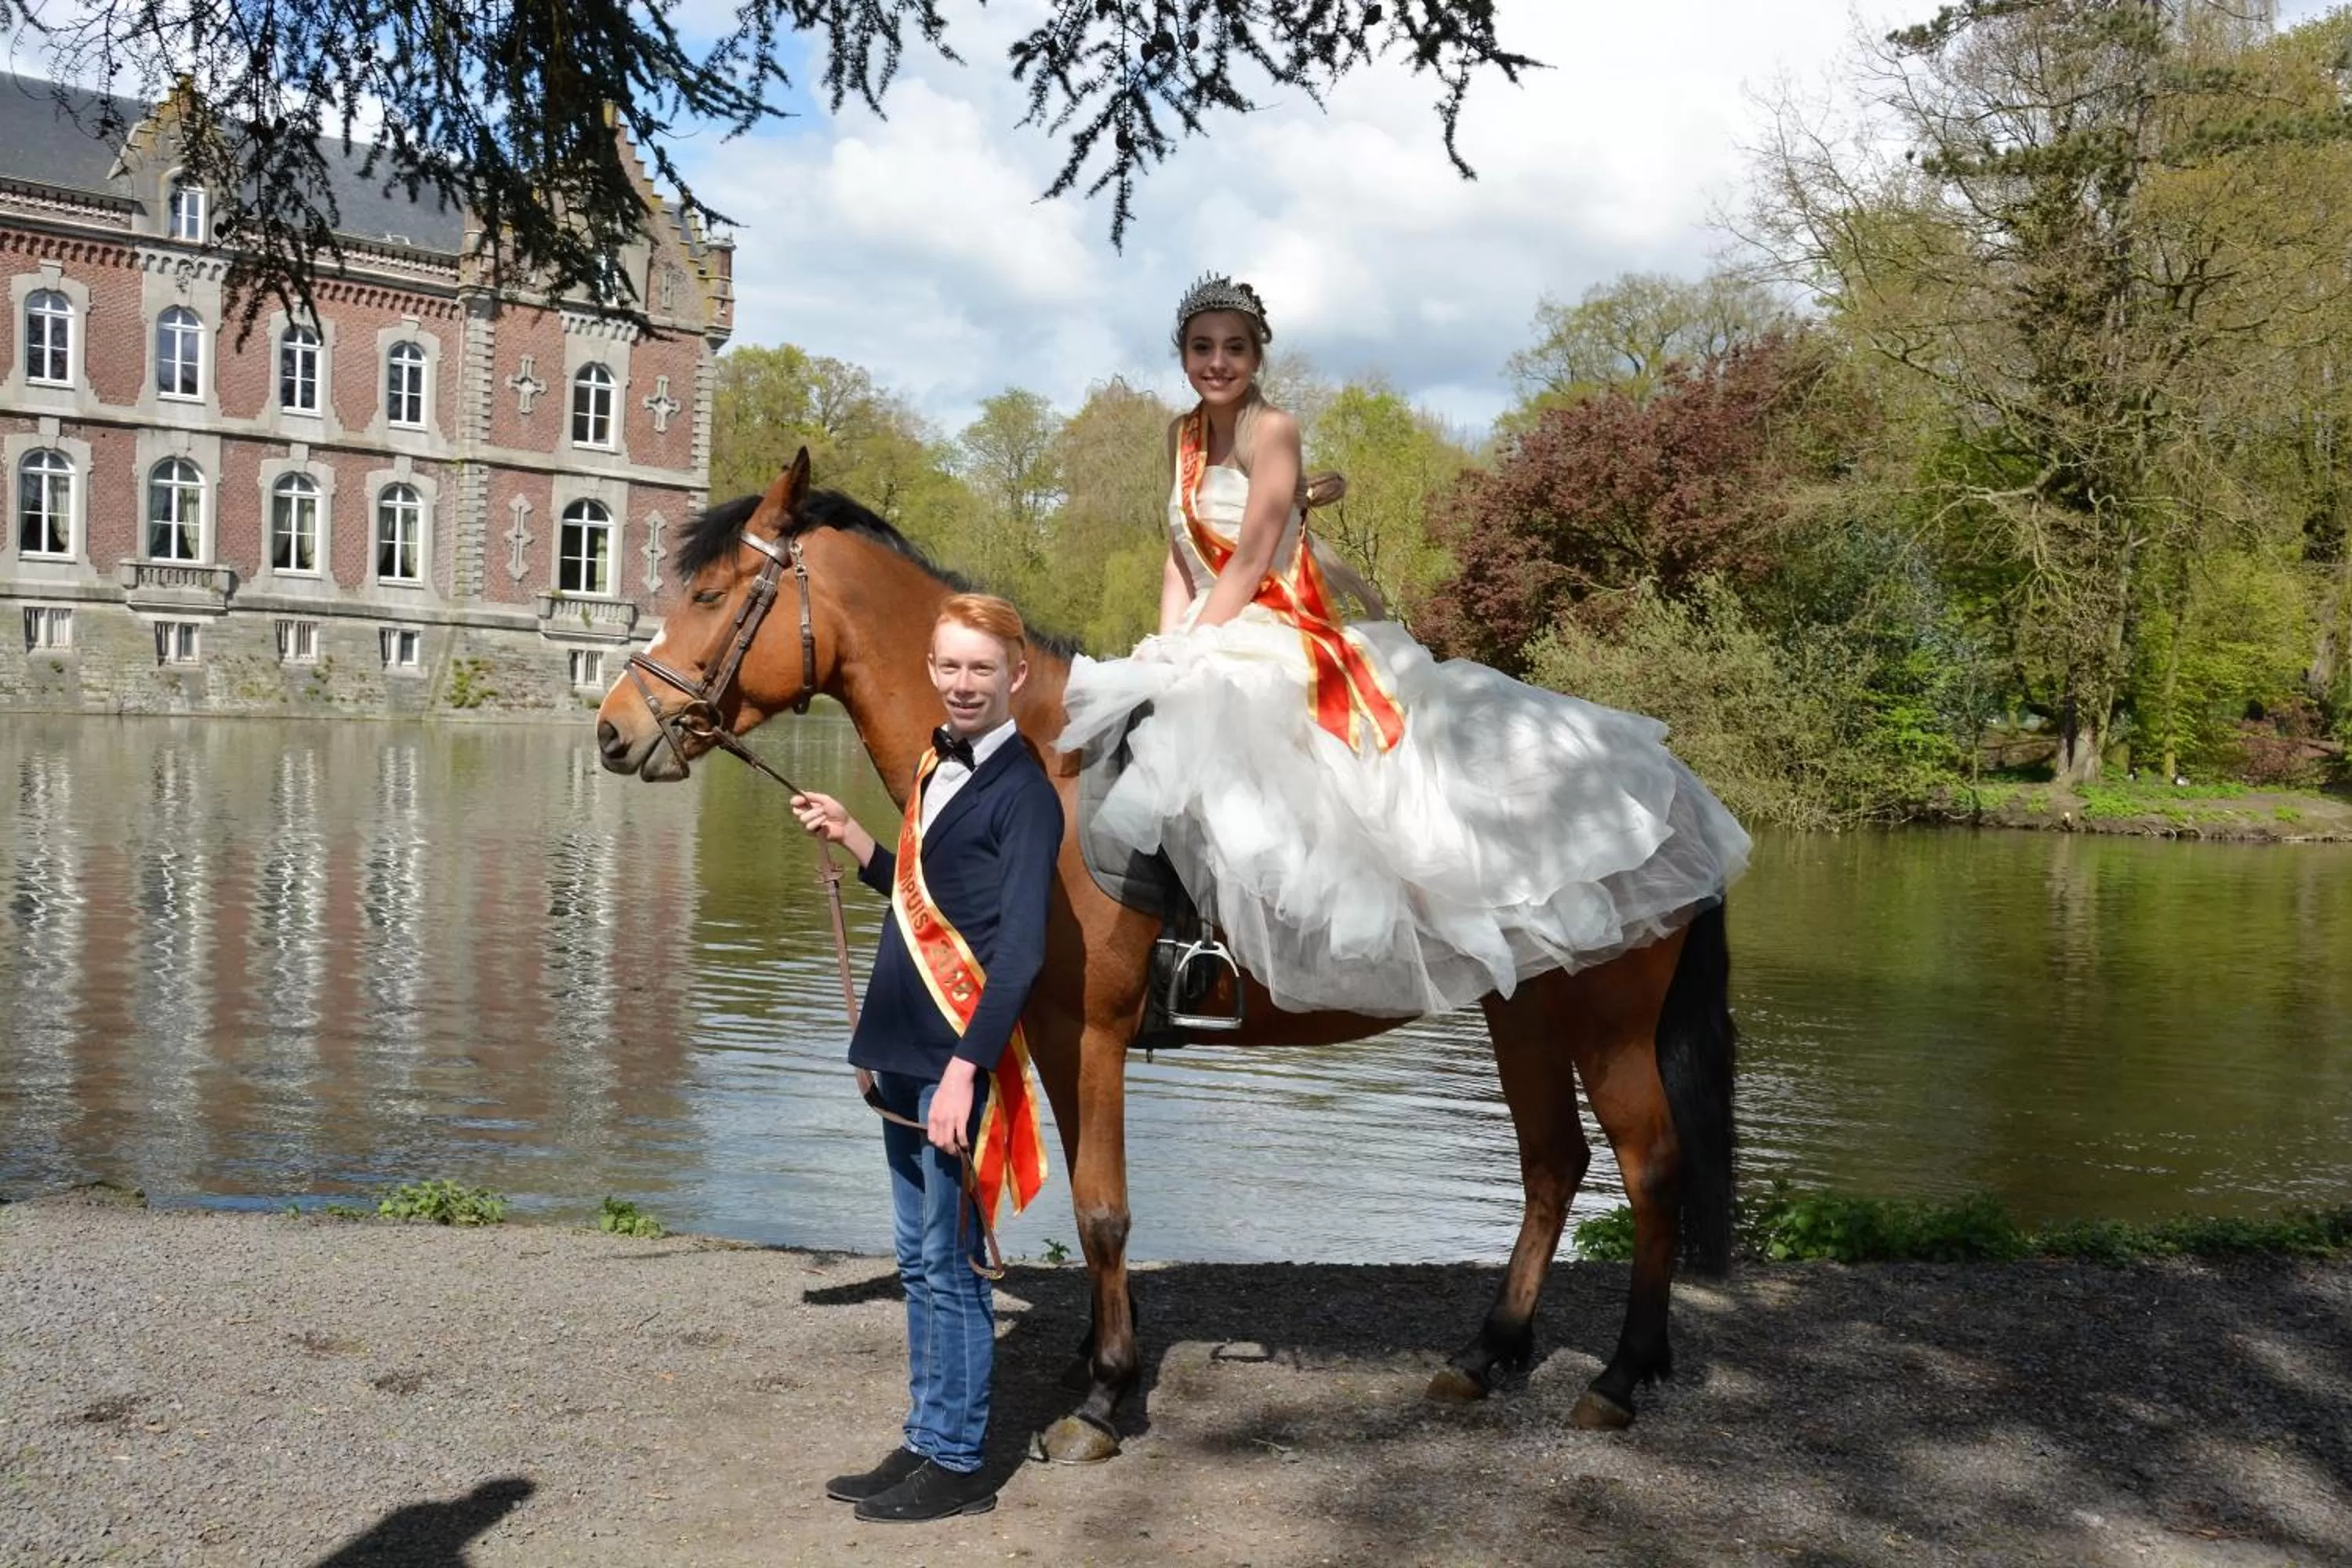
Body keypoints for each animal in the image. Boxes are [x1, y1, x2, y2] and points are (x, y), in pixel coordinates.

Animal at [594, 451, 1737, 1460]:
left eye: (708, 591)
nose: (613, 730)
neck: (1037, 757)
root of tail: (1672, 778)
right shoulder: (1053, 1030)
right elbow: (1086, 1192)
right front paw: (1100, 1354)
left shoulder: (1092, 1030)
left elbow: (1104, 1210)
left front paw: (1104, 1396)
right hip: (1525, 1012)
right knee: (1555, 1166)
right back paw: (1488, 1353)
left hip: (1606, 1024)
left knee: (1649, 1167)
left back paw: (1621, 1375)